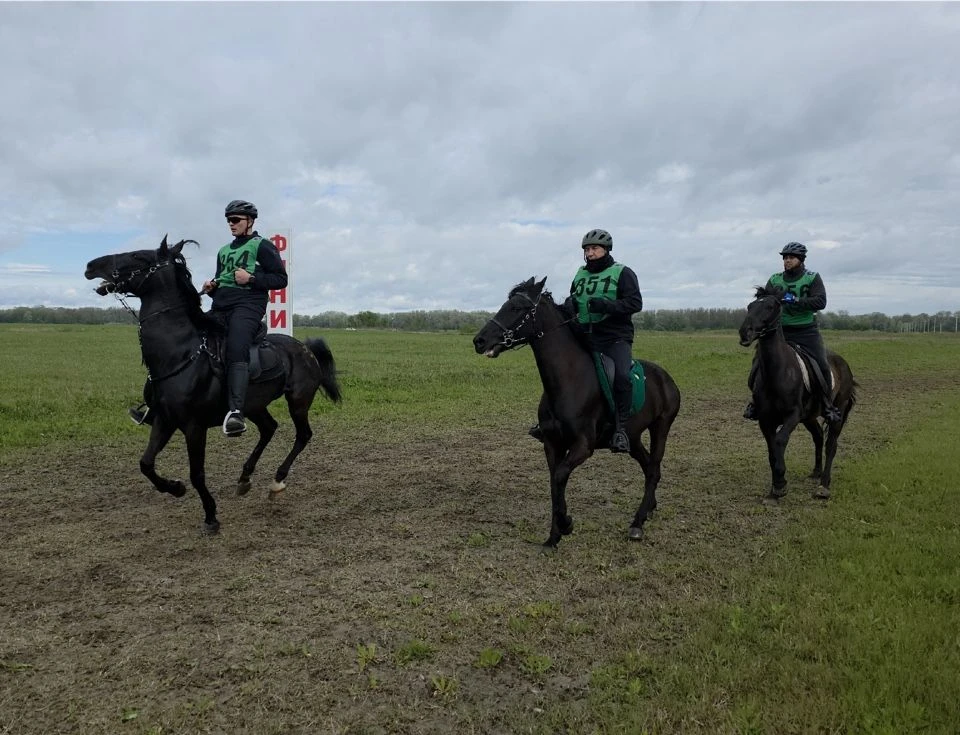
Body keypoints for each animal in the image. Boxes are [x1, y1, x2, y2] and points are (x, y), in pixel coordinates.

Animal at [84, 236, 342, 533]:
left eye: (139, 256)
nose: (91, 265)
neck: (180, 354)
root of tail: (306, 348)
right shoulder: (164, 419)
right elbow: (146, 464)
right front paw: (175, 488)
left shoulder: (194, 427)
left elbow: (197, 474)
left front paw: (210, 515)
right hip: (254, 406)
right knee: (269, 429)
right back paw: (244, 478)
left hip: (298, 402)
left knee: (303, 435)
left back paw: (277, 481)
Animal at [473, 277, 682, 548]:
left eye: (516, 308)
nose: (479, 341)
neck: (568, 381)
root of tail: (666, 378)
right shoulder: (551, 444)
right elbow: (554, 482)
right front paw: (553, 538)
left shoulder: (583, 446)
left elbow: (560, 476)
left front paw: (566, 524)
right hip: (633, 437)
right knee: (648, 468)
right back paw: (649, 511)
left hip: (661, 428)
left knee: (654, 468)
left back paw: (637, 522)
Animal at [738, 285, 857, 501]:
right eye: (750, 306)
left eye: (769, 307)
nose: (745, 333)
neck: (778, 372)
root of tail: (843, 363)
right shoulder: (765, 419)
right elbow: (771, 449)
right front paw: (776, 487)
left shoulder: (792, 416)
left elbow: (779, 441)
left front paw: (780, 482)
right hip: (809, 417)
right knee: (818, 436)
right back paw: (816, 472)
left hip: (838, 410)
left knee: (831, 444)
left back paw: (824, 485)